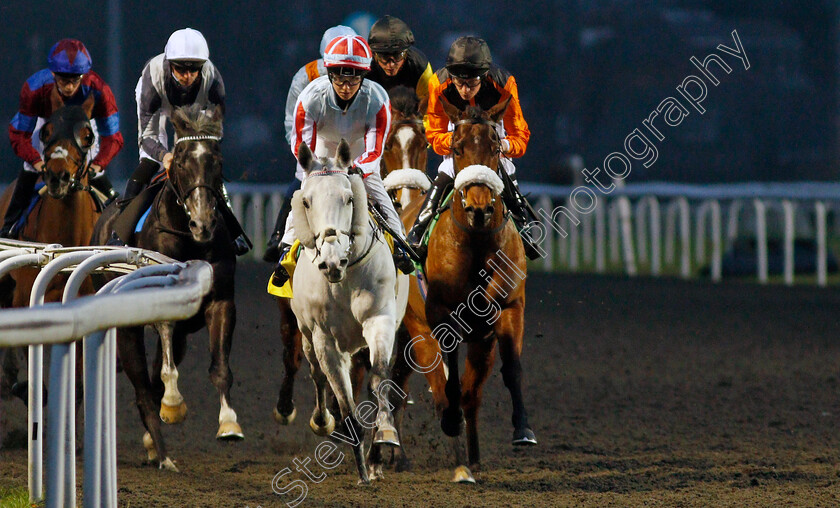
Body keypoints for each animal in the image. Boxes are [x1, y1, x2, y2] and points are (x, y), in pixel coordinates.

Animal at [92, 104, 243, 472]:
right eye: (183, 162)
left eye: (217, 161)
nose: (203, 223)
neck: (188, 239)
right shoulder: (161, 303)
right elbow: (164, 374)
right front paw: (174, 405)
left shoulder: (221, 301)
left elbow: (220, 368)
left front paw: (229, 423)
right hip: (127, 329)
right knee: (144, 391)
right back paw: (163, 454)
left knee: (151, 383)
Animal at [288, 140, 408, 484]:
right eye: (306, 201)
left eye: (349, 198)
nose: (332, 262)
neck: (344, 279)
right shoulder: (324, 339)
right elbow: (344, 400)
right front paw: (362, 470)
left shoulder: (380, 319)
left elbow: (379, 379)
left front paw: (383, 440)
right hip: (307, 336)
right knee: (317, 375)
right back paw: (322, 420)